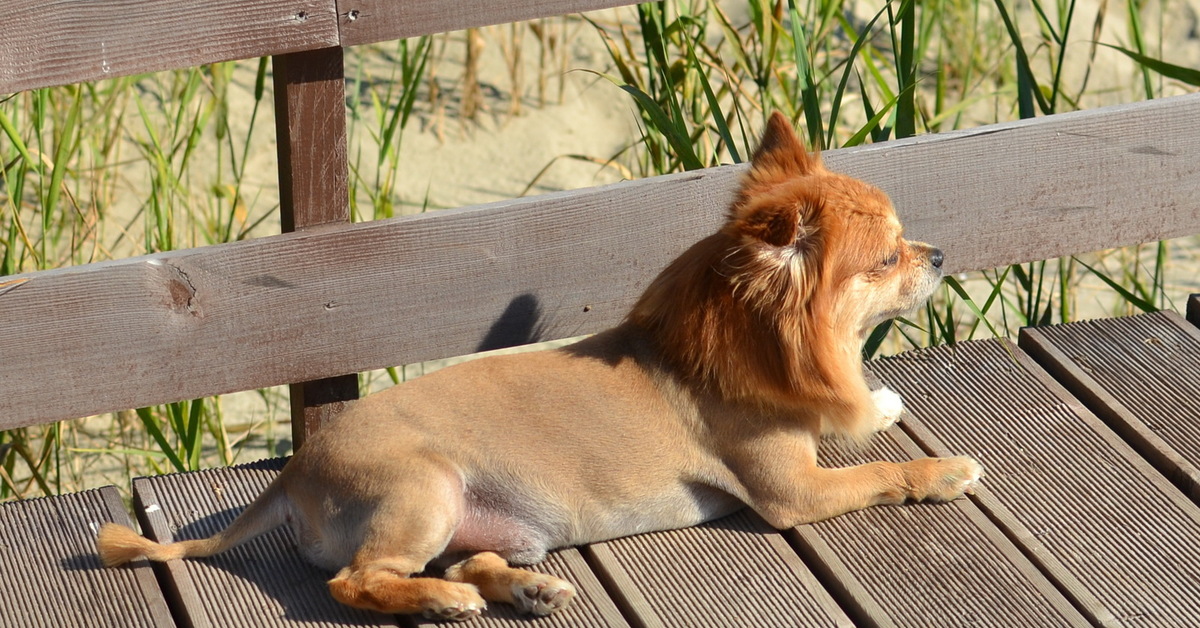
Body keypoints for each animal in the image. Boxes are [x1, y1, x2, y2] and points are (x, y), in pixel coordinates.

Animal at [98, 112, 984, 619]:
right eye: (887, 258)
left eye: (906, 243)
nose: (941, 253)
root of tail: (292, 471)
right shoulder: (793, 492)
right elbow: (878, 472)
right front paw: (939, 468)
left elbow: (855, 415)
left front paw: (879, 403)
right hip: (424, 490)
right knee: (354, 581)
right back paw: (444, 601)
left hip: (479, 521)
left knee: (472, 557)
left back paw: (526, 589)